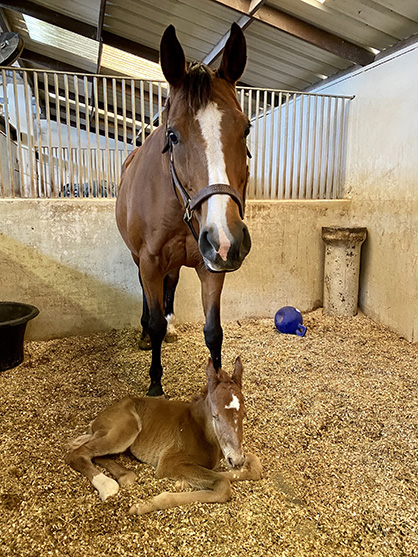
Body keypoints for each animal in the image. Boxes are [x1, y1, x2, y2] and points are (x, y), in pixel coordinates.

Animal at [65, 358, 262, 516]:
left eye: (244, 414)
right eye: (215, 415)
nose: (236, 460)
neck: (200, 430)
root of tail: (97, 419)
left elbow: (254, 466)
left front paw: (182, 483)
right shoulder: (169, 462)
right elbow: (222, 484)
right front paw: (143, 505)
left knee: (95, 453)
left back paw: (125, 476)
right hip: (127, 430)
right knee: (78, 453)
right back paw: (107, 486)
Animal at [115, 22, 251, 396]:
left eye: (246, 129)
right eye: (173, 135)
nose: (226, 239)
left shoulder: (211, 266)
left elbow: (213, 332)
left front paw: (219, 387)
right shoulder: (149, 261)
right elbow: (155, 321)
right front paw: (155, 385)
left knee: (172, 284)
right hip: (139, 257)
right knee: (148, 299)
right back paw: (145, 333)